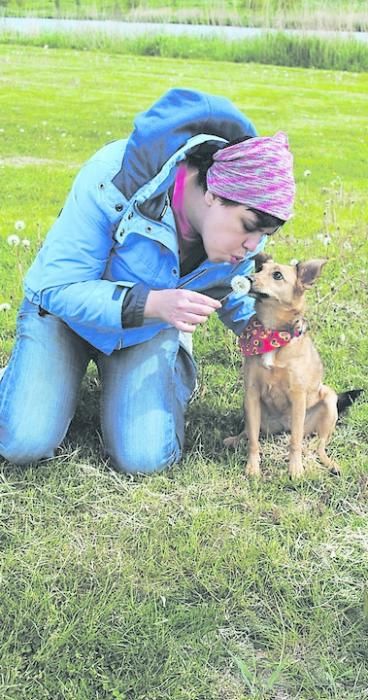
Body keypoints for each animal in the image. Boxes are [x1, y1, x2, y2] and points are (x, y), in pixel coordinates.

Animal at [223, 254, 360, 478]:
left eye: (277, 275)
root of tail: (282, 427)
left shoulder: (297, 395)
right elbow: (253, 440)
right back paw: (235, 439)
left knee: (318, 445)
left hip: (328, 400)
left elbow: (295, 441)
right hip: (251, 408)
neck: (270, 332)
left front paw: (295, 469)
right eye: (259, 269)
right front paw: (252, 467)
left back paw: (330, 463)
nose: (249, 278)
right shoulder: (251, 392)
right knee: (249, 432)